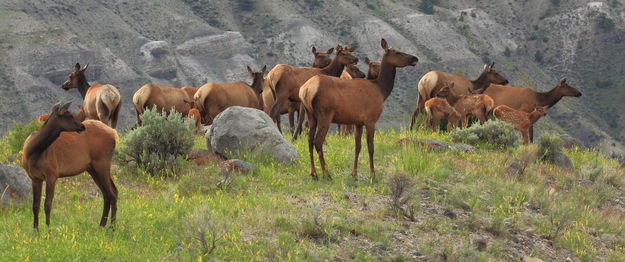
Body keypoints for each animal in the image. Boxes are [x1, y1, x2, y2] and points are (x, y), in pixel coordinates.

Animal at [298, 38, 416, 178]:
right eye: (397, 52)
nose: (415, 58)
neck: (382, 90)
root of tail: (306, 90)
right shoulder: (371, 119)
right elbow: (371, 148)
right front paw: (372, 174)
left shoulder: (358, 122)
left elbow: (357, 147)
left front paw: (354, 173)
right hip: (325, 115)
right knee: (318, 141)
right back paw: (326, 173)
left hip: (311, 115)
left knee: (309, 139)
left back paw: (313, 173)